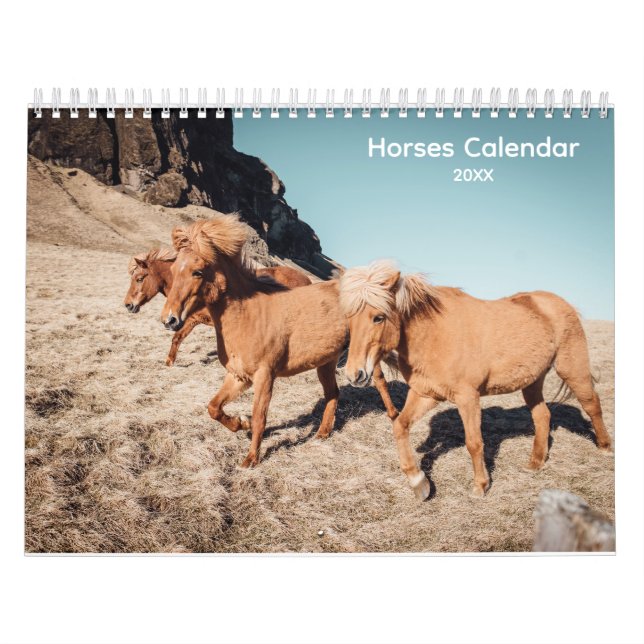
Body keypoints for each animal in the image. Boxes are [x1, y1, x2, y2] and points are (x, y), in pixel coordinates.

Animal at [160, 214, 399, 468]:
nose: (169, 319)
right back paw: (322, 433)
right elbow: (214, 408)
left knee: (379, 380)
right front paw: (240, 423)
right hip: (326, 362)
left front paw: (251, 459)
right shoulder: (238, 376)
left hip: (361, 355)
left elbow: (260, 417)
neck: (248, 315)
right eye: (173, 269)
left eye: (197, 272)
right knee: (333, 393)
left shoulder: (265, 376)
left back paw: (393, 415)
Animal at [339, 260, 612, 501]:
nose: (355, 374)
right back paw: (535, 463)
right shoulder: (426, 394)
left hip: (572, 369)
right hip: (532, 380)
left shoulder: (468, 397)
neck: (435, 335)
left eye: (378, 317)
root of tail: (558, 302)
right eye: (349, 318)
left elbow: (474, 442)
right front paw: (419, 483)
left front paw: (480, 486)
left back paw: (606, 448)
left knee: (591, 404)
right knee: (542, 415)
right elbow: (399, 426)